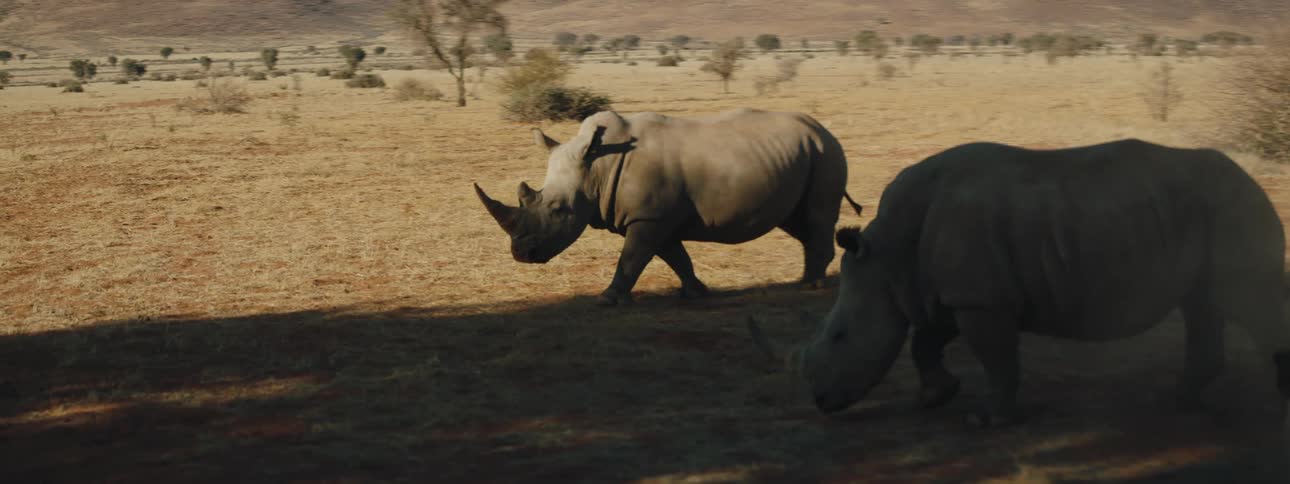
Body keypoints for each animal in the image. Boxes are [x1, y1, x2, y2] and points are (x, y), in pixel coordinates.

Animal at [474, 108, 861, 306]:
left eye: (557, 210)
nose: (521, 254)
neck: (596, 168)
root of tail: (823, 129)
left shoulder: (648, 217)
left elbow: (633, 258)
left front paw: (607, 298)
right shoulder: (653, 217)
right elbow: (674, 256)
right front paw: (695, 292)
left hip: (825, 153)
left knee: (816, 217)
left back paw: (811, 287)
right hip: (801, 154)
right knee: (797, 222)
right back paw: (805, 281)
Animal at [750, 138, 1290, 427]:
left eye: (841, 337)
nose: (821, 403)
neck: (886, 255)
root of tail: (1253, 181)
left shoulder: (980, 300)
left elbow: (997, 360)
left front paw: (988, 420)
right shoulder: (953, 293)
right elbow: (925, 342)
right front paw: (935, 398)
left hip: (1232, 207)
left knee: (1246, 300)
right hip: (1206, 211)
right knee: (1203, 305)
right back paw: (1178, 400)